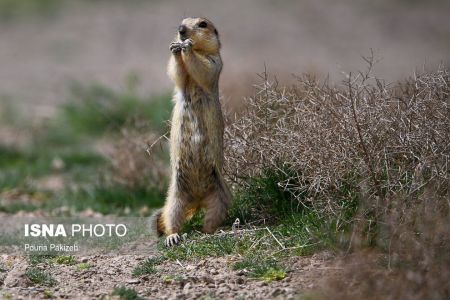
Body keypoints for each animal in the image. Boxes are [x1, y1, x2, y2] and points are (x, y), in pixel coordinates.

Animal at [153, 17, 232, 246]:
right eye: (181, 21)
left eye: (203, 24)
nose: (181, 30)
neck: (199, 50)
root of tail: (197, 199)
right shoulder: (182, 76)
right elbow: (177, 73)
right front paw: (175, 49)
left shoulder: (215, 61)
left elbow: (204, 69)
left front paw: (186, 47)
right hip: (175, 198)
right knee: (172, 219)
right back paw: (173, 237)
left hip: (220, 197)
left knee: (213, 217)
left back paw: (212, 231)